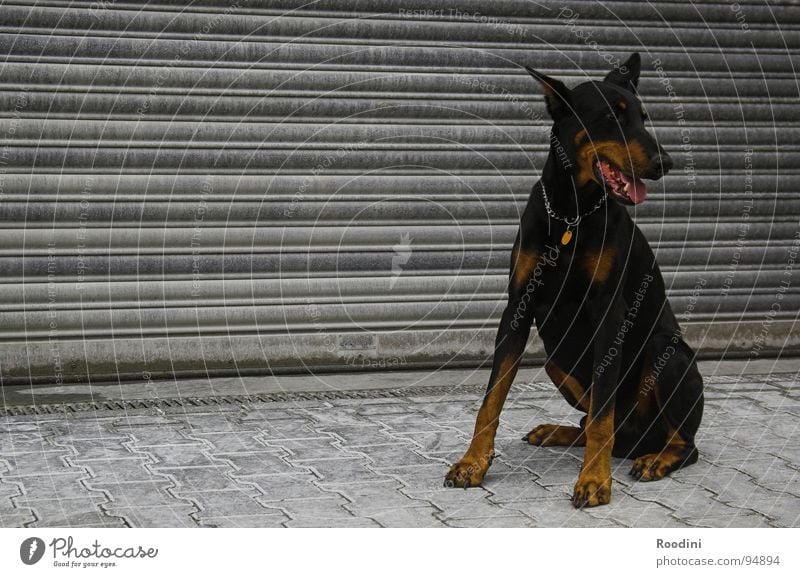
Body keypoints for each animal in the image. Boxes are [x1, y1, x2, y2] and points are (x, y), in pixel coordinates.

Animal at [446, 53, 704, 504]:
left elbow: (602, 412)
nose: (666, 164)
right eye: (611, 118)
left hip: (667, 351)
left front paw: (594, 480)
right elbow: (491, 399)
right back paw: (560, 431)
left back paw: (655, 460)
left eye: (643, 117)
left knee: (681, 443)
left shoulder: (609, 312)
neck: (572, 213)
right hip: (556, 359)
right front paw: (472, 463)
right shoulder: (518, 306)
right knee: (597, 427)